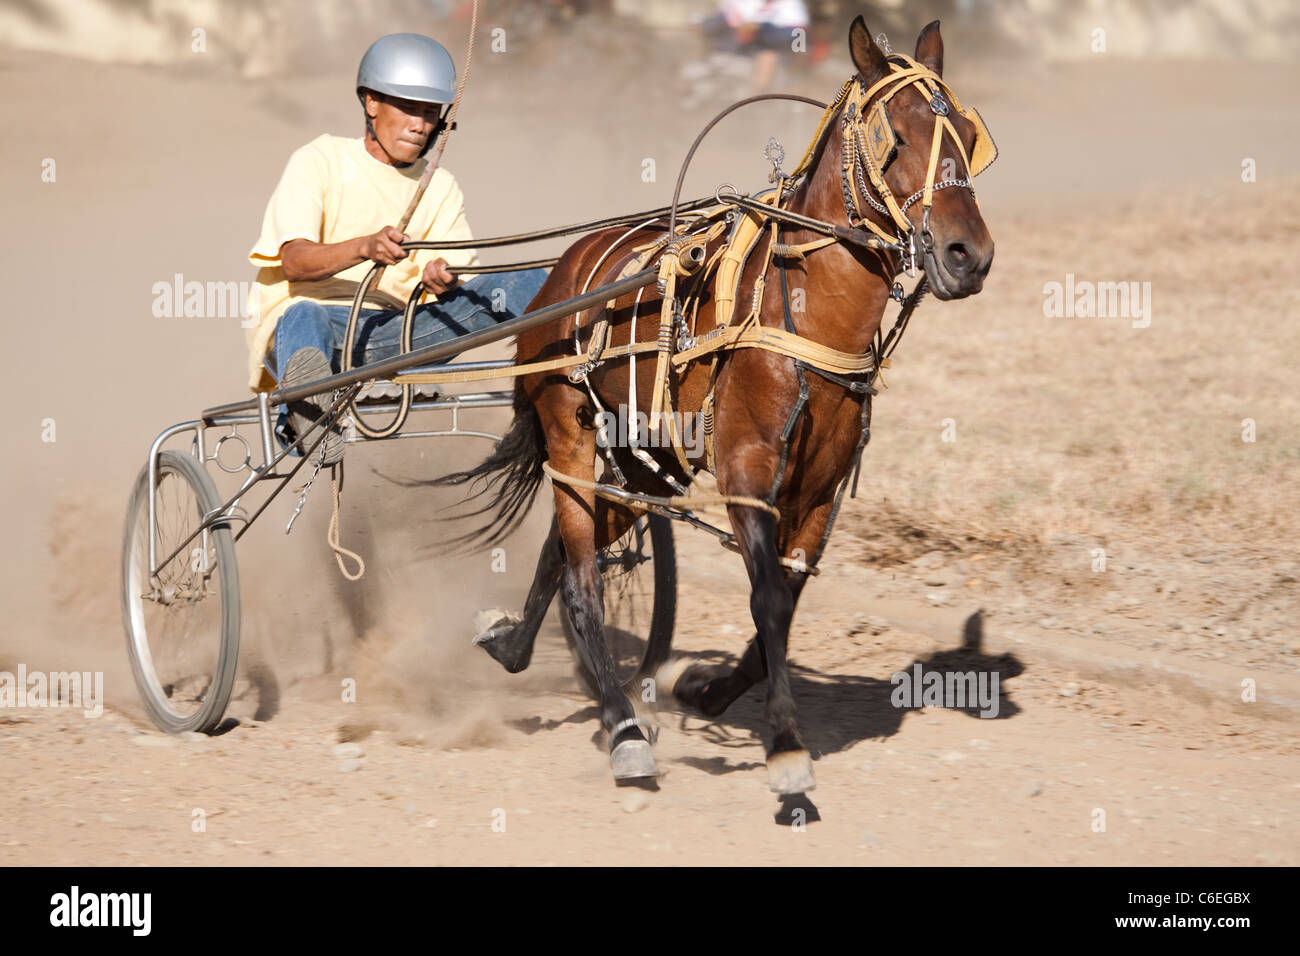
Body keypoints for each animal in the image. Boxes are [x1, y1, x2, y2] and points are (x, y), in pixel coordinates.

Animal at [436, 16, 993, 790]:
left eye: (968, 137)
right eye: (898, 138)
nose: (970, 254)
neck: (805, 317)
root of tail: (562, 274)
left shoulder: (820, 491)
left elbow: (784, 604)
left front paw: (706, 689)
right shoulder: (746, 470)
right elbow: (766, 599)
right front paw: (785, 746)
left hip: (651, 458)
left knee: (571, 546)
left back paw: (519, 648)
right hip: (570, 428)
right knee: (580, 573)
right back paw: (621, 724)